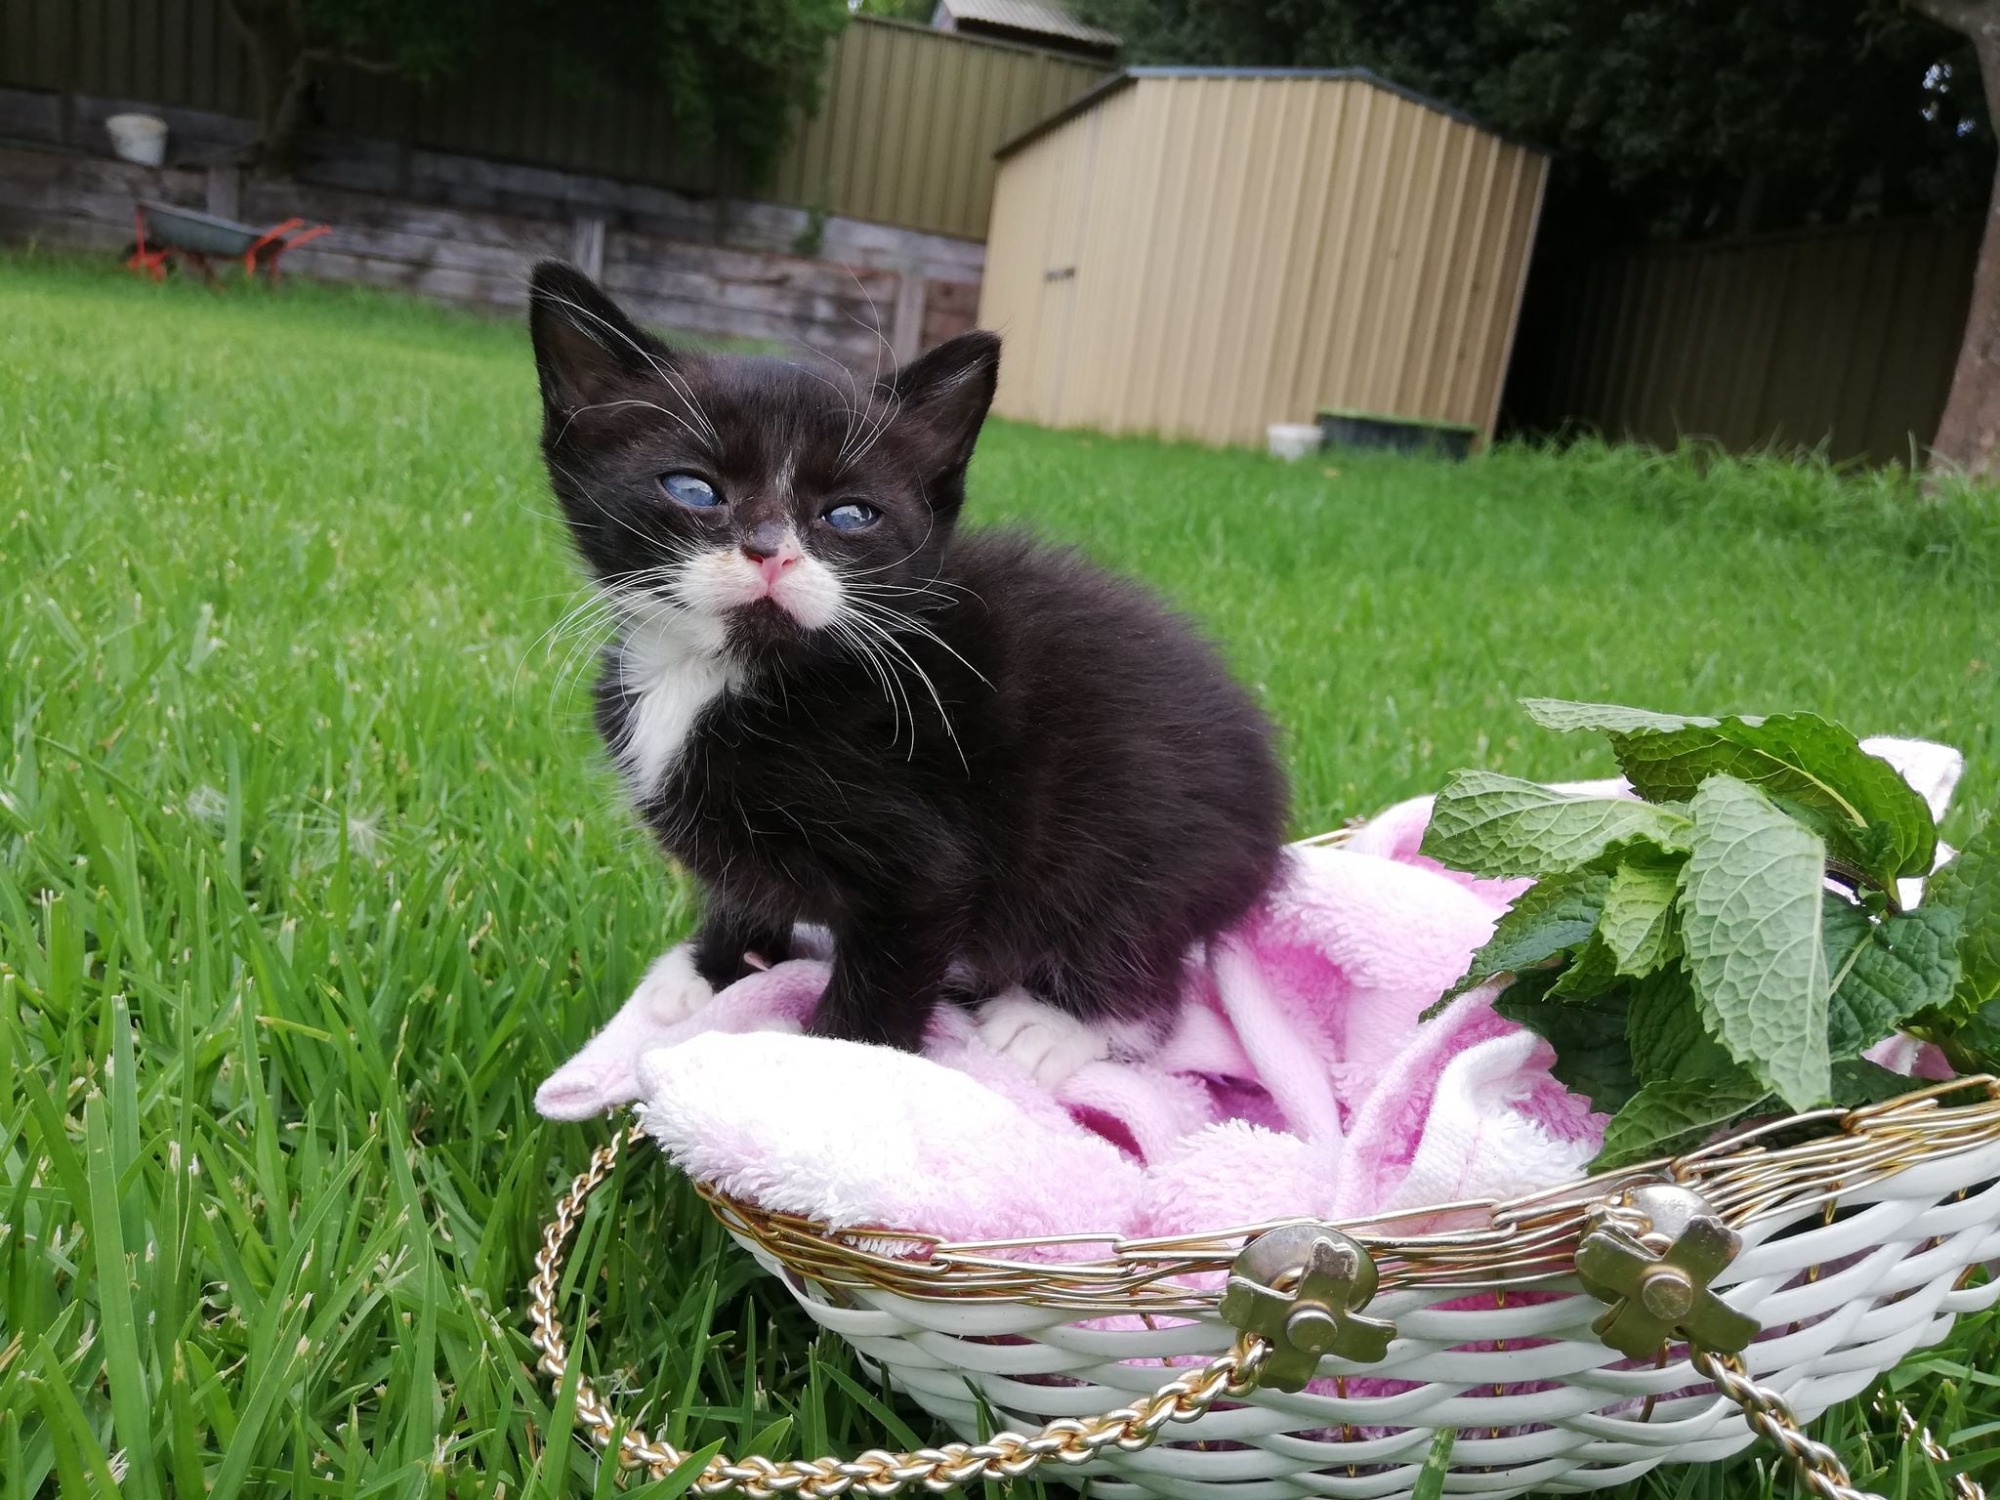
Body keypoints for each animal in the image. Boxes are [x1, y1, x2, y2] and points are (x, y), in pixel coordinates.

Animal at [528, 260, 1287, 1080]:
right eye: (693, 488)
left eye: (850, 515)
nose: (770, 552)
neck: (726, 673)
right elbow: (744, 890)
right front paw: (713, 967)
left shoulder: (922, 869)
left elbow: (883, 983)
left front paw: (831, 1072)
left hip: (1143, 838)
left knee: (1143, 948)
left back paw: (1054, 1022)